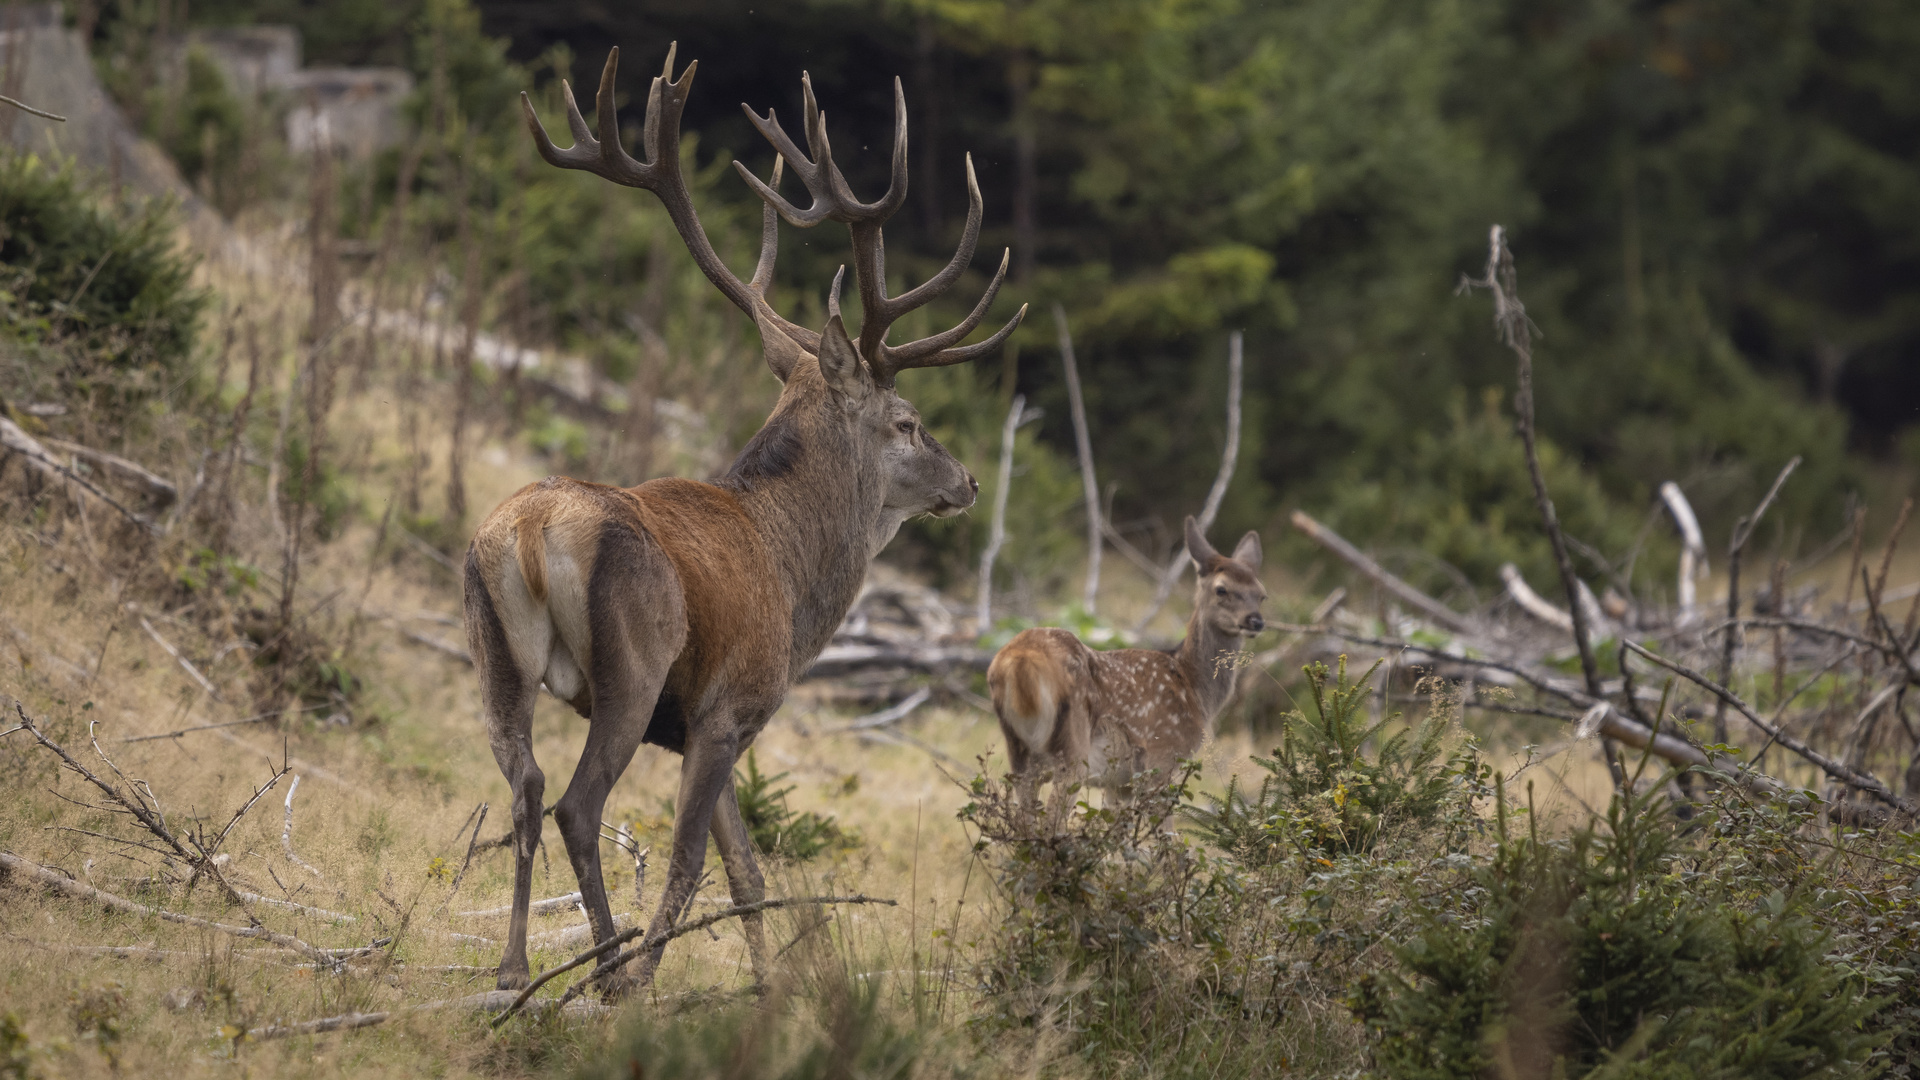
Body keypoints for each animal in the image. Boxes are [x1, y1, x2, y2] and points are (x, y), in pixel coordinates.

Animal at [466, 50, 1029, 991]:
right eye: (908, 421)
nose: (970, 482)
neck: (794, 579)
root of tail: (529, 536)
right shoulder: (735, 702)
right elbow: (699, 861)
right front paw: (659, 977)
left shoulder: (714, 724)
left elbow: (749, 871)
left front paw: (771, 987)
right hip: (634, 662)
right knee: (579, 805)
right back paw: (611, 969)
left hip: (493, 654)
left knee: (525, 788)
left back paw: (512, 968)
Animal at [990, 518, 1259, 803]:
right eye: (1222, 589)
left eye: (1262, 594)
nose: (1255, 620)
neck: (1193, 687)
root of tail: (1019, 661)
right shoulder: (1162, 755)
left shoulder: (1120, 784)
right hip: (1073, 746)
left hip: (1020, 752)